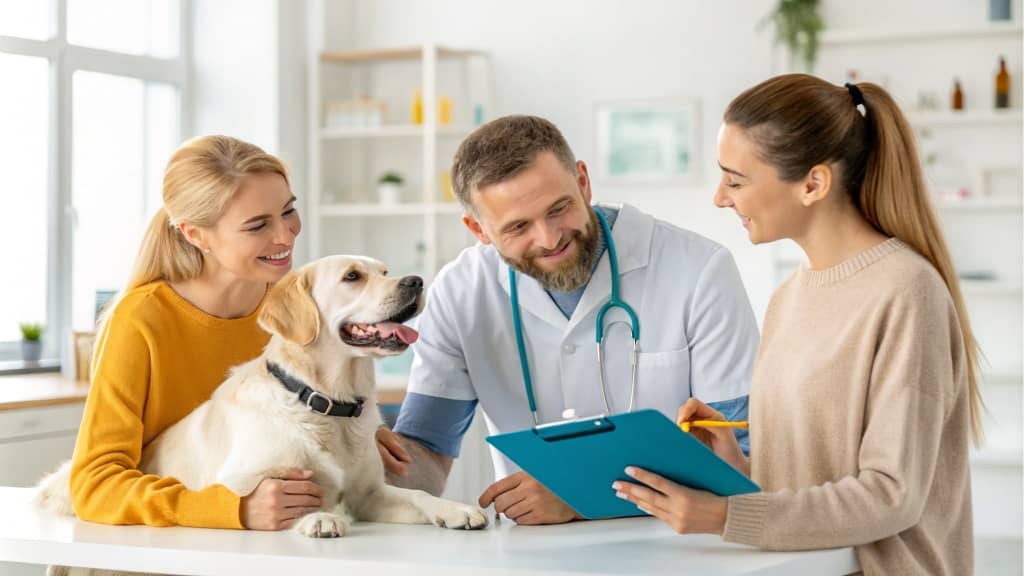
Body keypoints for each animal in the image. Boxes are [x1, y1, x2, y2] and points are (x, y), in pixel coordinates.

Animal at [38, 253, 487, 537]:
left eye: (385, 270)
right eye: (352, 276)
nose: (416, 281)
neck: (326, 403)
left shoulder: (369, 494)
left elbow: (418, 494)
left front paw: (459, 510)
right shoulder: (237, 481)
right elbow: (272, 502)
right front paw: (318, 518)